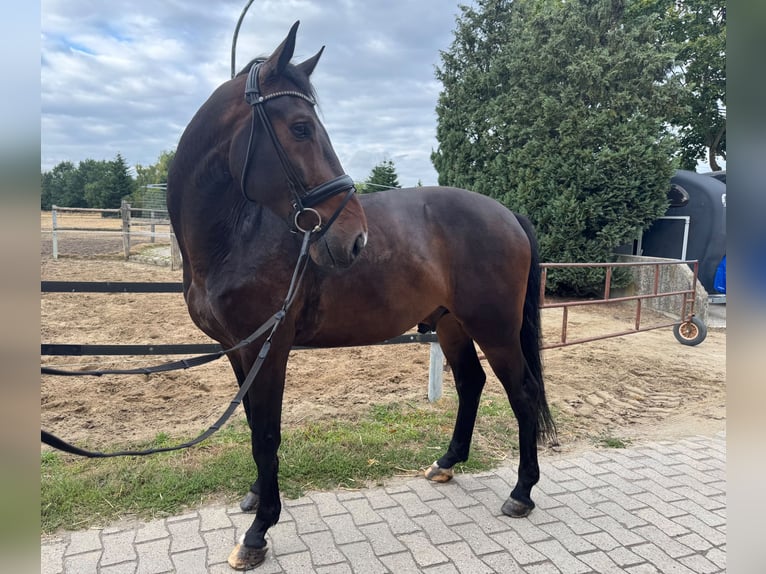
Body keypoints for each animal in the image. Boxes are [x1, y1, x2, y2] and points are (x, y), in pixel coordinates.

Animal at [167, 21, 556, 570]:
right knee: (472, 384)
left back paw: (522, 492)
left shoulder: (269, 349)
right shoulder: (239, 351)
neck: (236, 235)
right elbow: (252, 425)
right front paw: (256, 497)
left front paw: (260, 530)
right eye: (301, 128)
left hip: (494, 329)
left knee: (522, 393)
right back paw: (447, 462)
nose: (354, 239)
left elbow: (267, 433)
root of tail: (507, 214)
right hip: (451, 324)